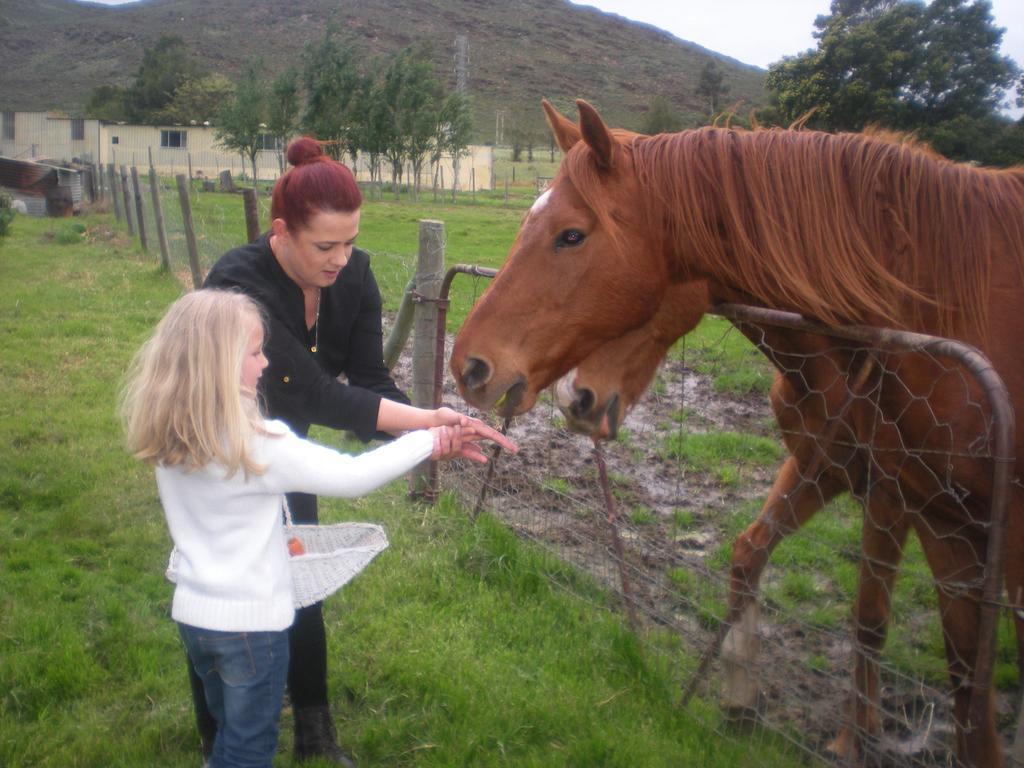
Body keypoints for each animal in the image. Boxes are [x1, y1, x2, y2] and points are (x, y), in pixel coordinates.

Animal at [456, 102, 1024, 768]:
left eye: (571, 234)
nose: (469, 366)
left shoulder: (908, 502)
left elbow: (893, 628)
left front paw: (850, 735)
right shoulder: (901, 499)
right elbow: (760, 558)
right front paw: (743, 693)